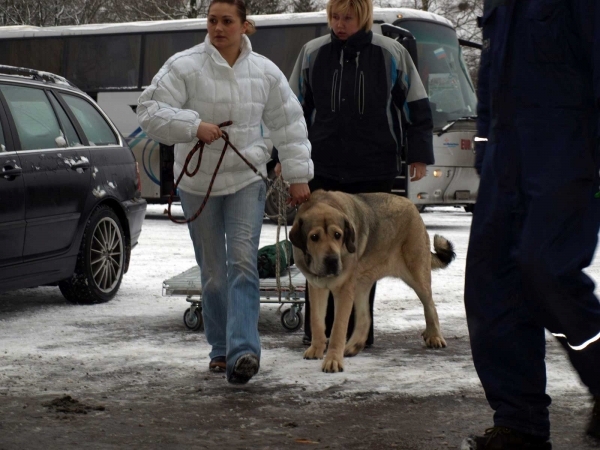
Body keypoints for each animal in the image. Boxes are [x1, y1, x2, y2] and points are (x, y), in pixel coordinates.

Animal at [290, 190, 454, 372]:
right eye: (314, 237)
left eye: (338, 235)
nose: (332, 261)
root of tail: (412, 205)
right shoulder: (317, 286)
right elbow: (317, 321)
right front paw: (316, 349)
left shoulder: (343, 289)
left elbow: (338, 328)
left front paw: (332, 360)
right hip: (361, 282)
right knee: (365, 318)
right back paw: (353, 346)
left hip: (417, 273)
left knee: (430, 304)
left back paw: (435, 336)